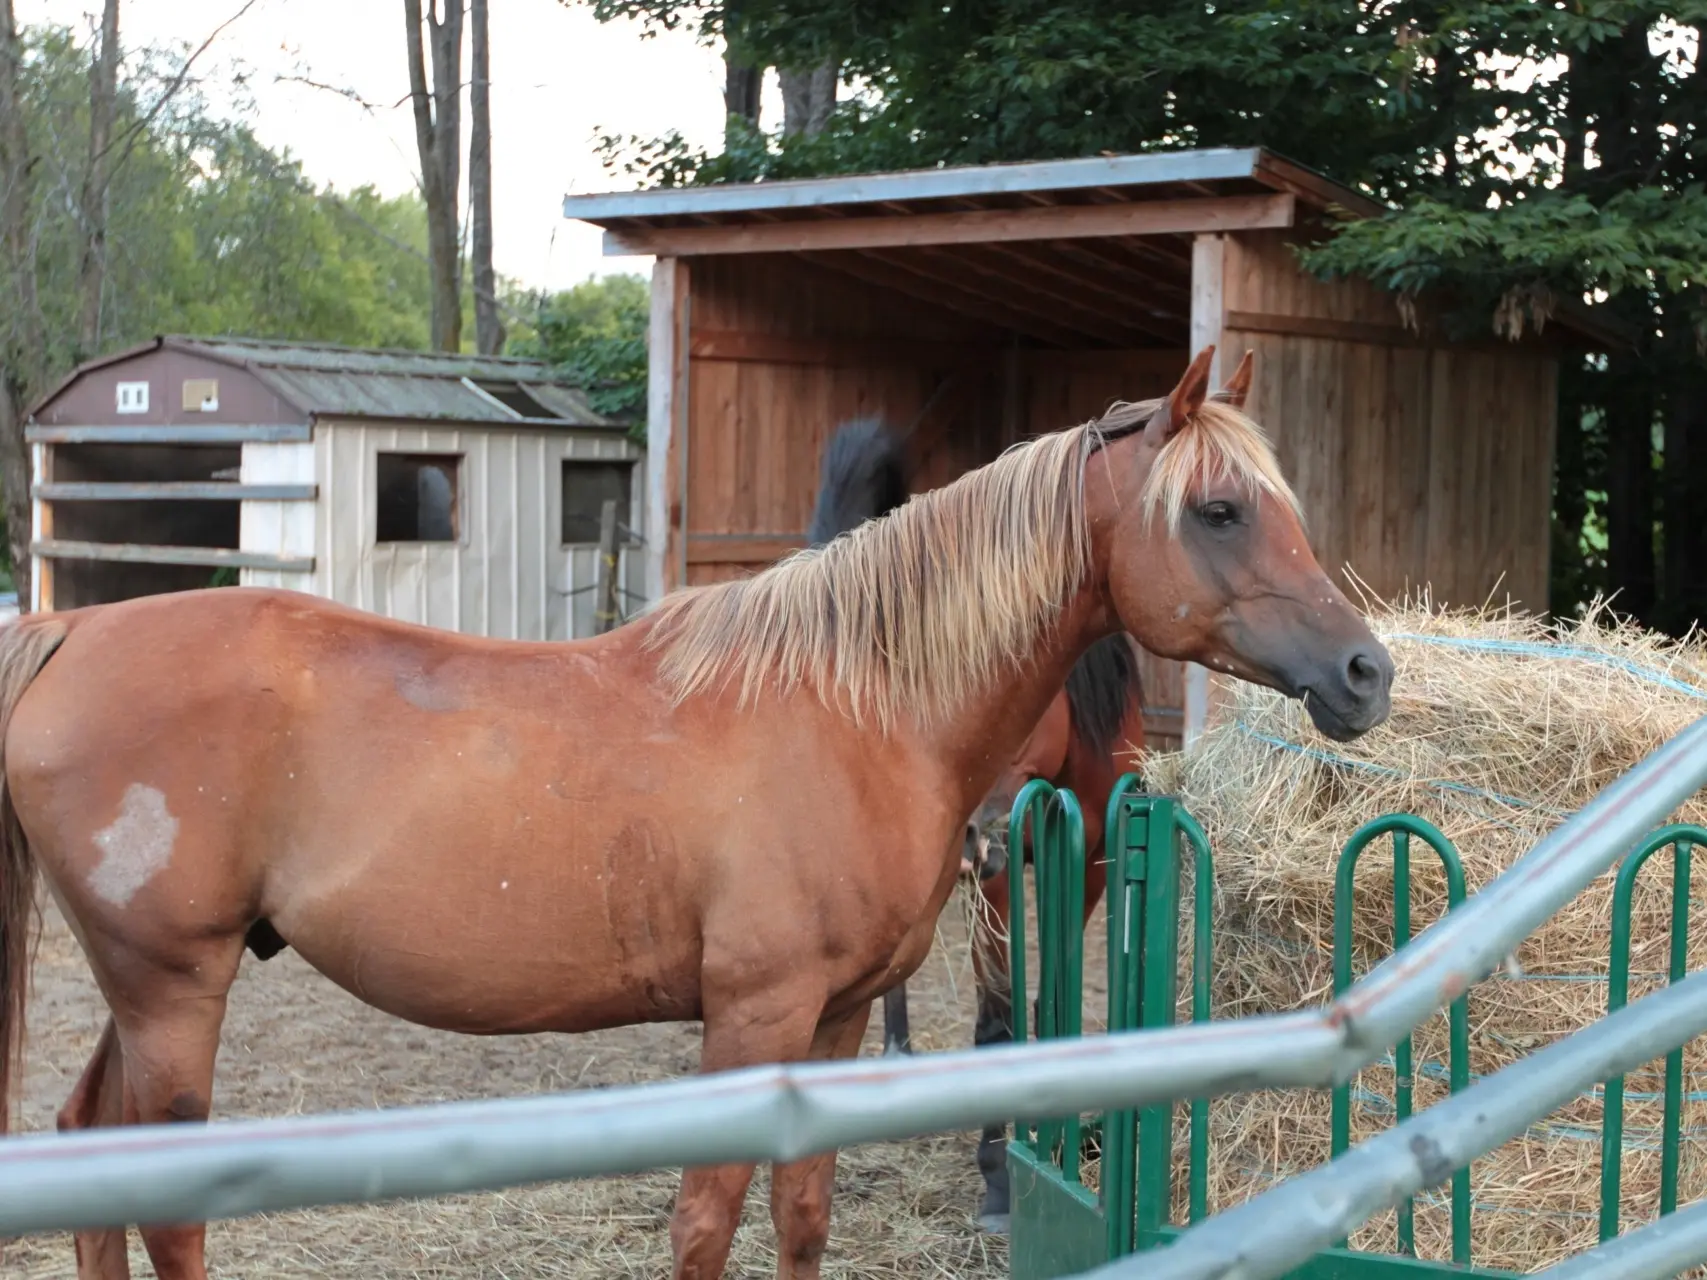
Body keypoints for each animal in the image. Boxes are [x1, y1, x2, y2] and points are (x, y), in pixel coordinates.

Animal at [0, 346, 1392, 1276]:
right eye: (1217, 509)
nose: (1366, 671)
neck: (855, 704)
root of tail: (71, 631)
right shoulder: (753, 1015)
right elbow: (706, 1220)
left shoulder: (831, 1023)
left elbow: (801, 1216)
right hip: (174, 988)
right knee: (165, 1204)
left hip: (155, 987)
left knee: (90, 1156)